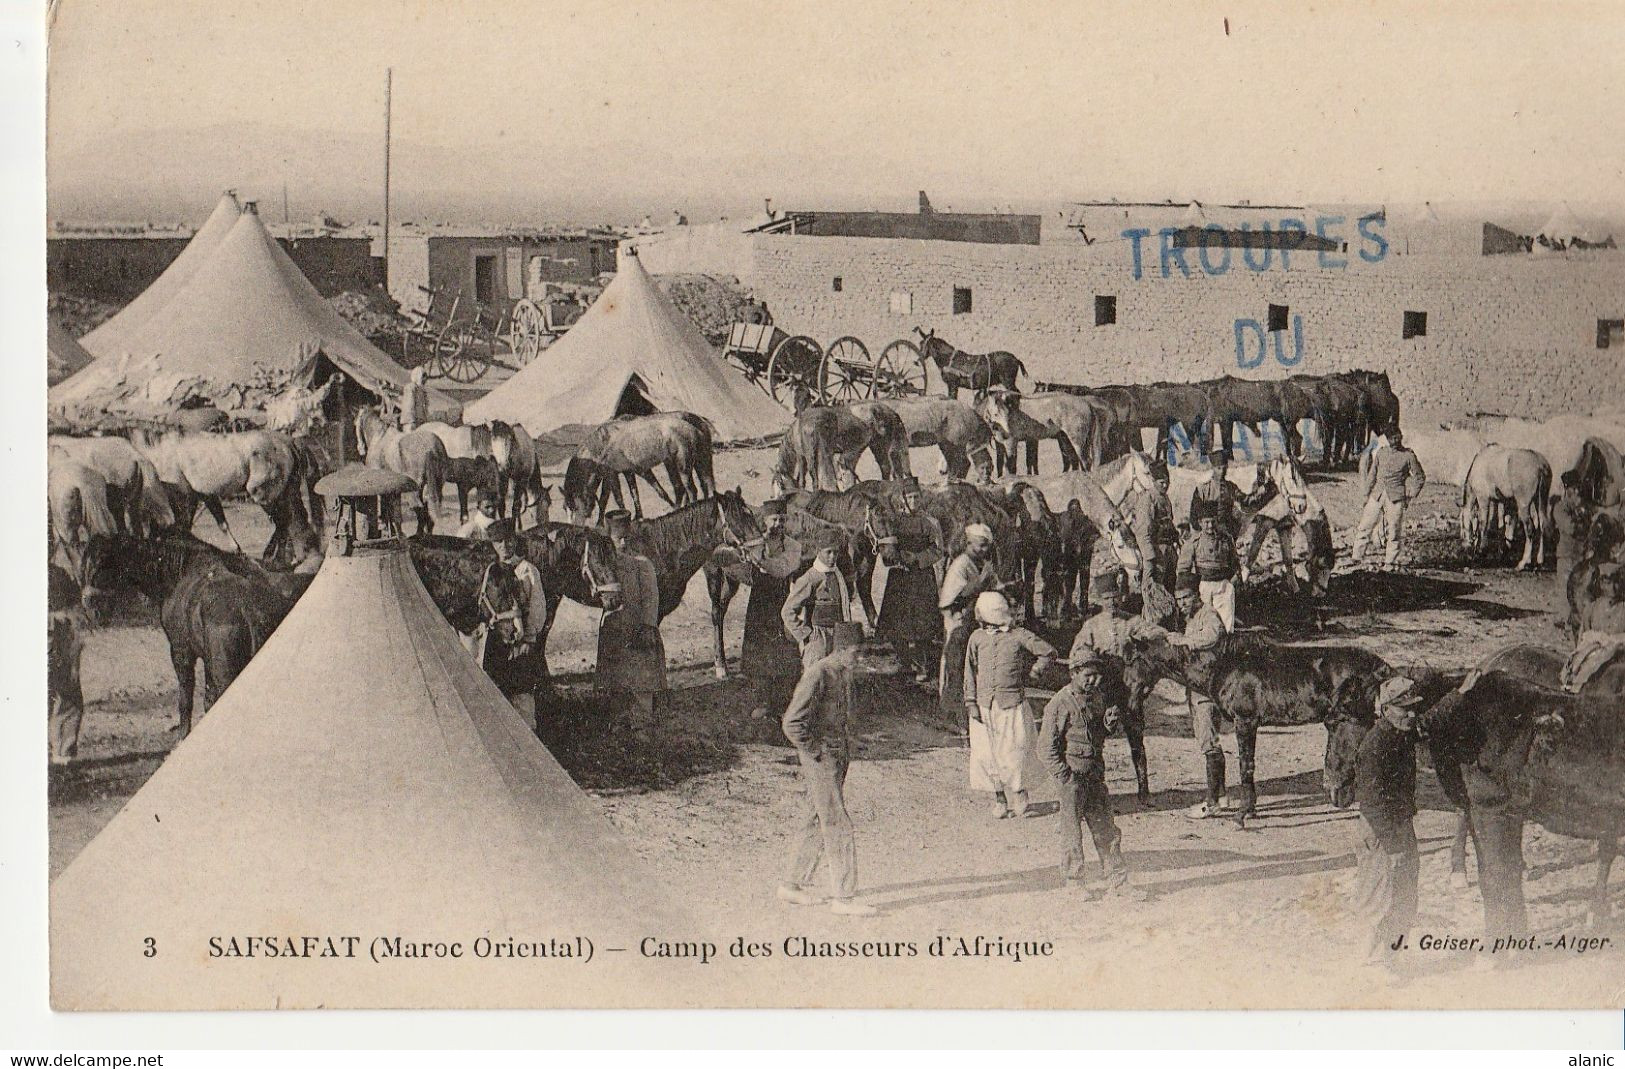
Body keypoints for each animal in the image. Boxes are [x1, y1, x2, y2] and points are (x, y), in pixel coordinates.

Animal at [76, 529, 316, 734]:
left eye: (101, 565)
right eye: (83, 565)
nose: (89, 609)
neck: (182, 572)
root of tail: (248, 608)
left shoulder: (181, 652)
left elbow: (185, 701)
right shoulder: (207, 660)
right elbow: (208, 700)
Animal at [354, 404, 448, 532]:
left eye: (356, 423)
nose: (360, 449)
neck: (379, 437)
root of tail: (431, 448)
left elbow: (385, 506)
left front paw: (384, 525)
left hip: (414, 489)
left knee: (420, 509)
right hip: (437, 485)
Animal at [1124, 627, 1391, 818]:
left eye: (1132, 660)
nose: (1129, 698)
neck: (1225, 666)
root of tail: (1379, 666)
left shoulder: (1246, 721)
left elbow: (1246, 766)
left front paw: (1244, 813)